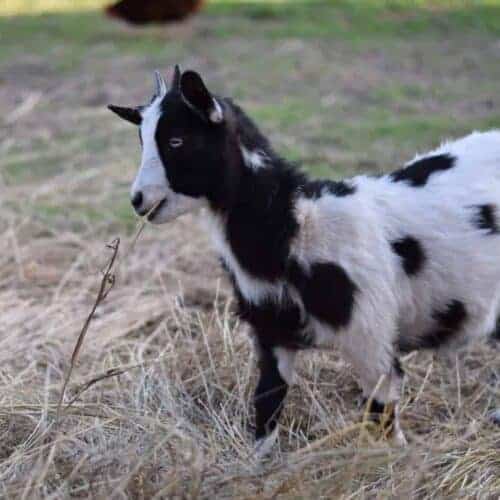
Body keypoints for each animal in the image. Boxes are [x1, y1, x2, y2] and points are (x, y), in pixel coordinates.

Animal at [108, 66, 500, 454]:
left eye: (177, 141)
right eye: (142, 140)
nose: (138, 200)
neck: (297, 227)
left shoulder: (371, 335)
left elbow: (383, 417)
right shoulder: (270, 330)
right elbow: (267, 402)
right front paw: (258, 462)